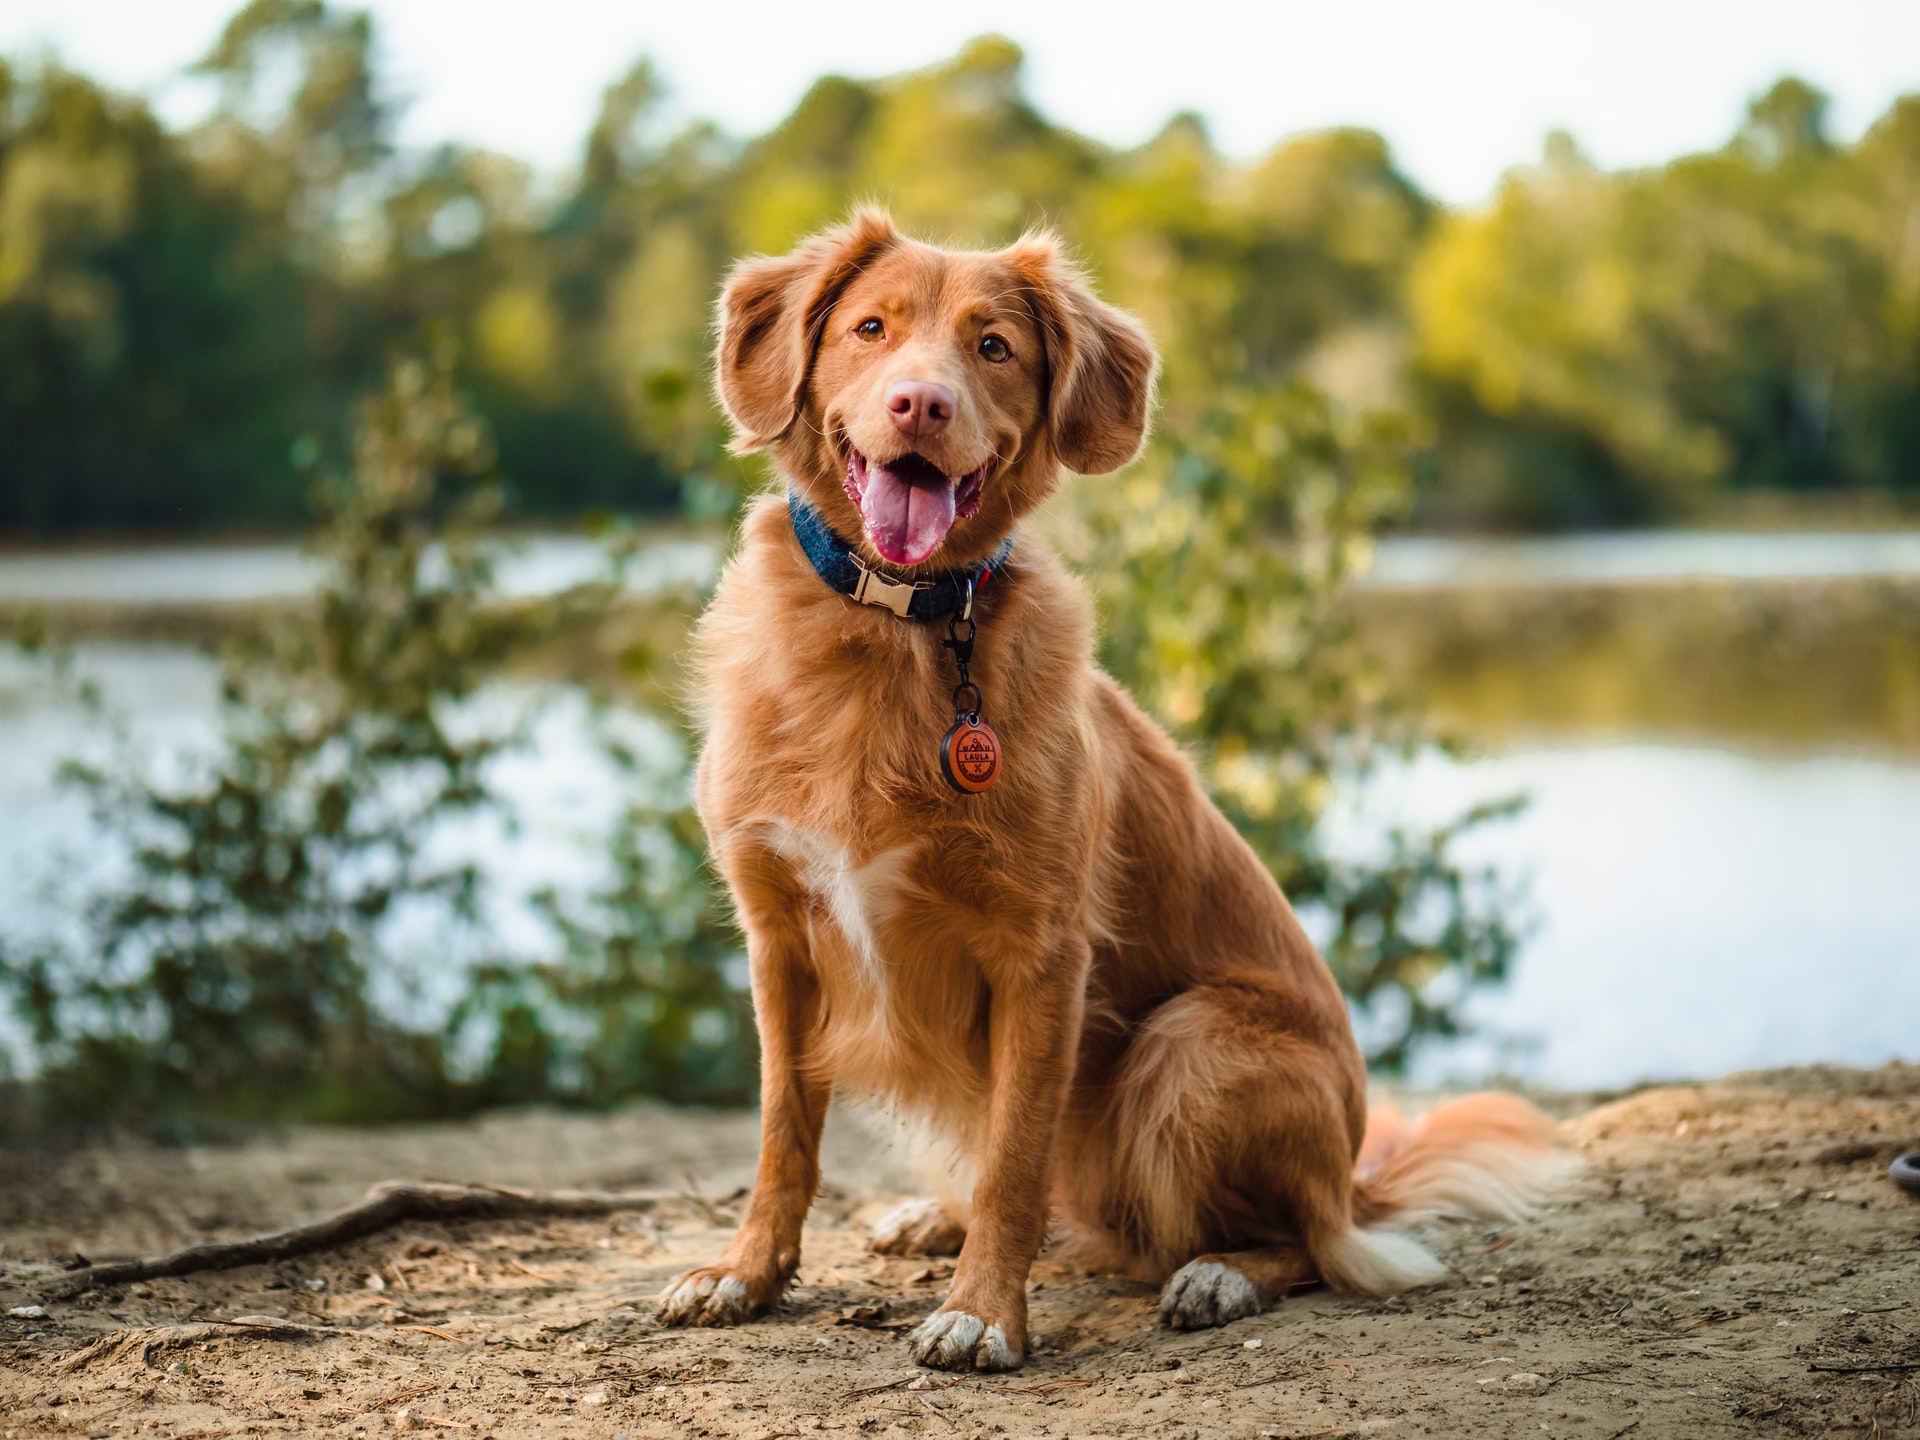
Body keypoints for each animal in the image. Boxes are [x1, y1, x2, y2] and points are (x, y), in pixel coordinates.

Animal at [660, 208, 1559, 1367]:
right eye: (870, 329)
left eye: (993, 347)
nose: (921, 403)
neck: (895, 629)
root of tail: (1355, 1175)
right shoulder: (779, 938)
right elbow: (783, 1131)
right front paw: (746, 1273)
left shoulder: (1042, 953)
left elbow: (1014, 1157)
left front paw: (982, 1312)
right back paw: (934, 1219)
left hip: (1189, 1047)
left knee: (1308, 1243)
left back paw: (1219, 1274)